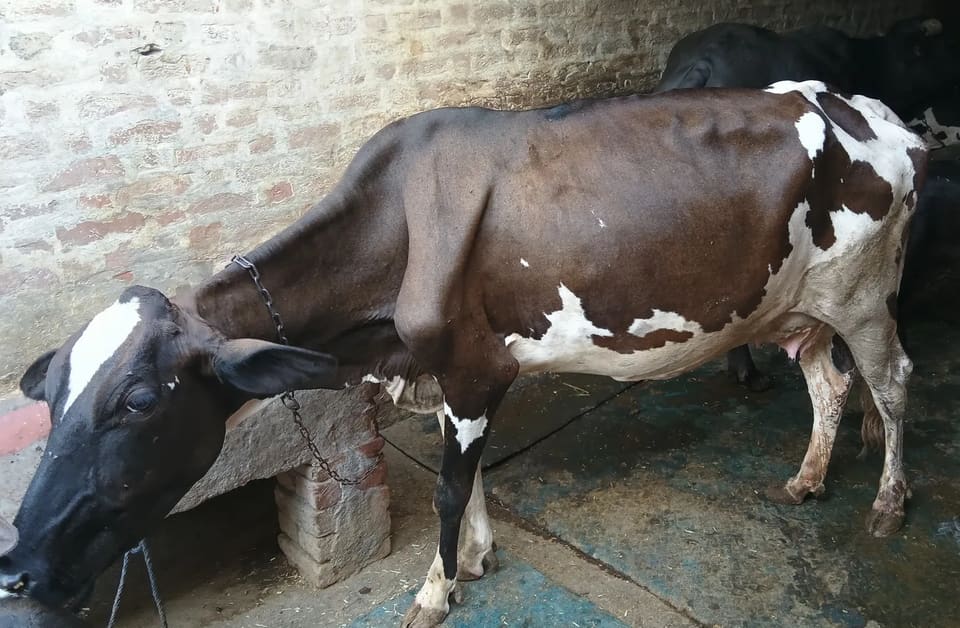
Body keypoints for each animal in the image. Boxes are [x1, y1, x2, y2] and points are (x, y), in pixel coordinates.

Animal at [0, 81, 925, 628]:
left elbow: (450, 487)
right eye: (49, 396)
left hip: (863, 291)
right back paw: (808, 477)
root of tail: (871, 111)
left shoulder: (477, 371)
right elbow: (470, 478)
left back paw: (888, 505)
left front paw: (434, 589)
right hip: (801, 304)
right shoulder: (450, 375)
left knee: (891, 382)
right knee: (830, 383)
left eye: (138, 401)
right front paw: (475, 558)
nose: (17, 567)